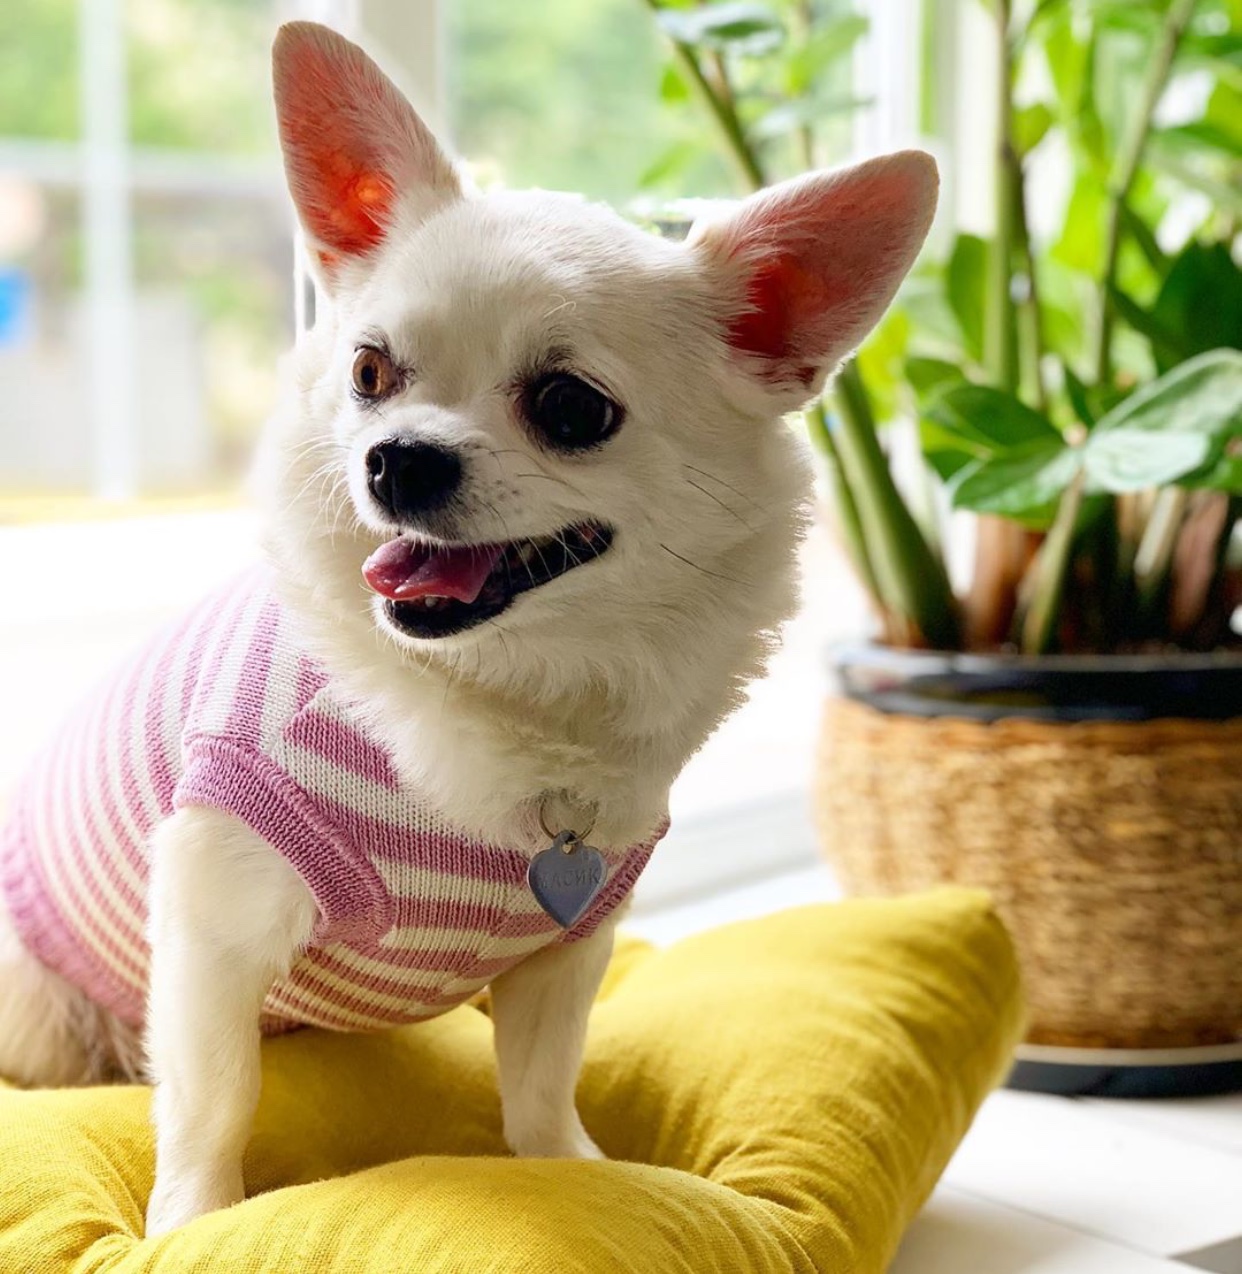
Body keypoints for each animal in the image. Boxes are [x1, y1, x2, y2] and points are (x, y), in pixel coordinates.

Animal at [0, 17, 937, 1233]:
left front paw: (576, 1171)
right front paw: (196, 1222)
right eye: (368, 371)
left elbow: (540, 1083)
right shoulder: (211, 922)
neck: (513, 695)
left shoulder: (565, 954)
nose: (398, 457)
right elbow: (214, 1096)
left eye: (572, 408)